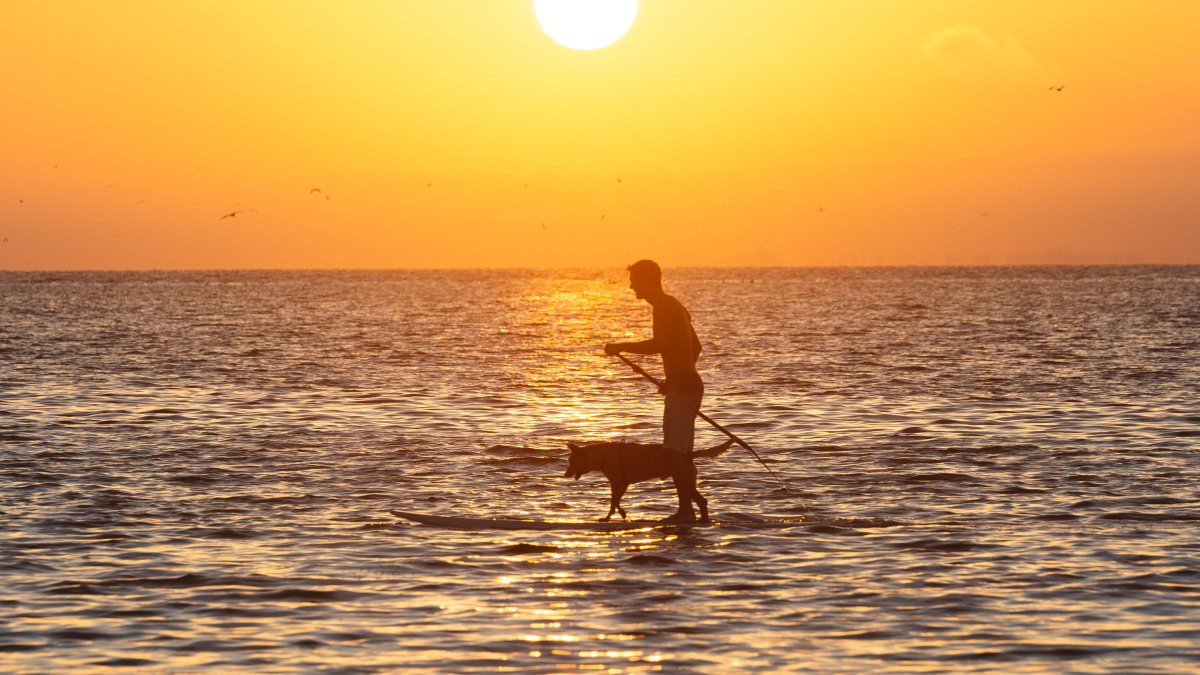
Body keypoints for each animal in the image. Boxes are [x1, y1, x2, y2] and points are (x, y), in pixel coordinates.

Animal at [564, 437, 739, 521]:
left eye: (571, 461)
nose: (565, 475)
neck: (601, 455)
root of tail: (689, 454)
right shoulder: (623, 483)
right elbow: (616, 501)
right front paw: (619, 514)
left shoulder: (617, 482)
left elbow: (613, 501)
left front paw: (611, 516)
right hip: (687, 482)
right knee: (703, 501)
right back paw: (703, 520)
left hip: (682, 480)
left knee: (701, 501)